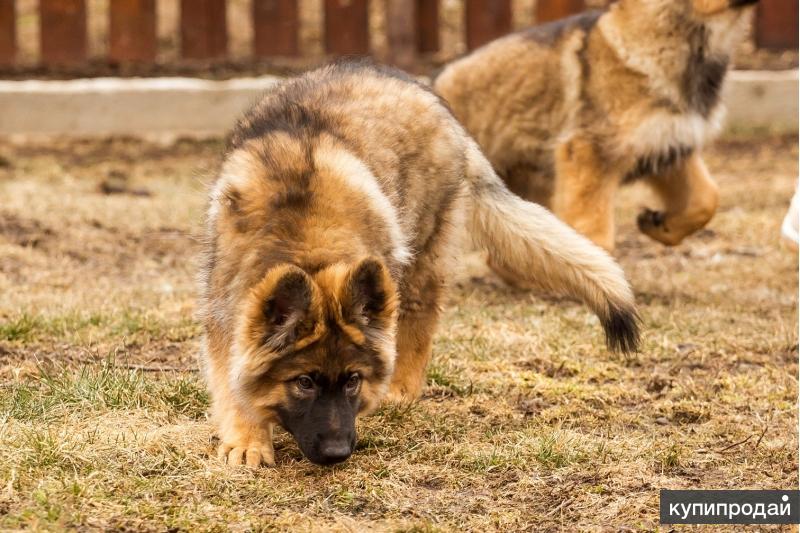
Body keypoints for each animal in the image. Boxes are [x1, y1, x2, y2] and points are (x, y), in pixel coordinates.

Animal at [202, 62, 644, 468]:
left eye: (353, 380)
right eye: (304, 382)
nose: (338, 453)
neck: (307, 240)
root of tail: (430, 97)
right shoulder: (224, 313)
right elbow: (231, 379)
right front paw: (248, 438)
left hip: (420, 256)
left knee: (421, 314)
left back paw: (402, 387)